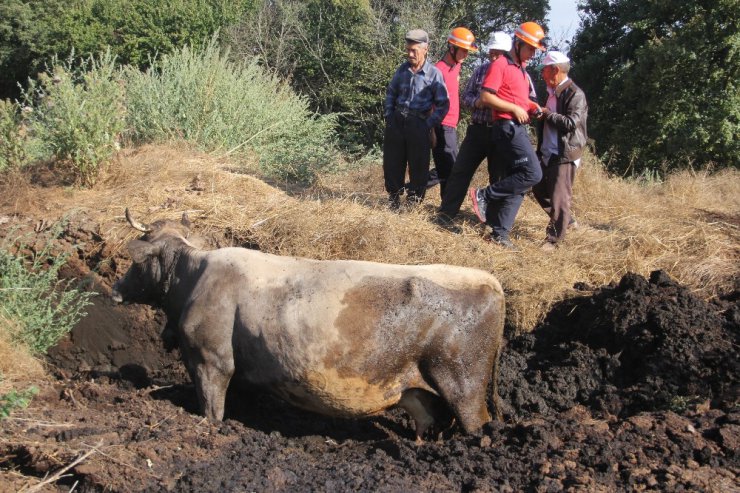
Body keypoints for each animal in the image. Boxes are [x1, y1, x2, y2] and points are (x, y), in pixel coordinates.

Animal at [112, 209, 506, 440]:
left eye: (137, 260)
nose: (115, 288)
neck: (194, 275)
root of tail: (490, 280)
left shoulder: (210, 359)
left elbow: (212, 409)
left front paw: (209, 427)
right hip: (424, 387)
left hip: (463, 382)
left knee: (475, 422)